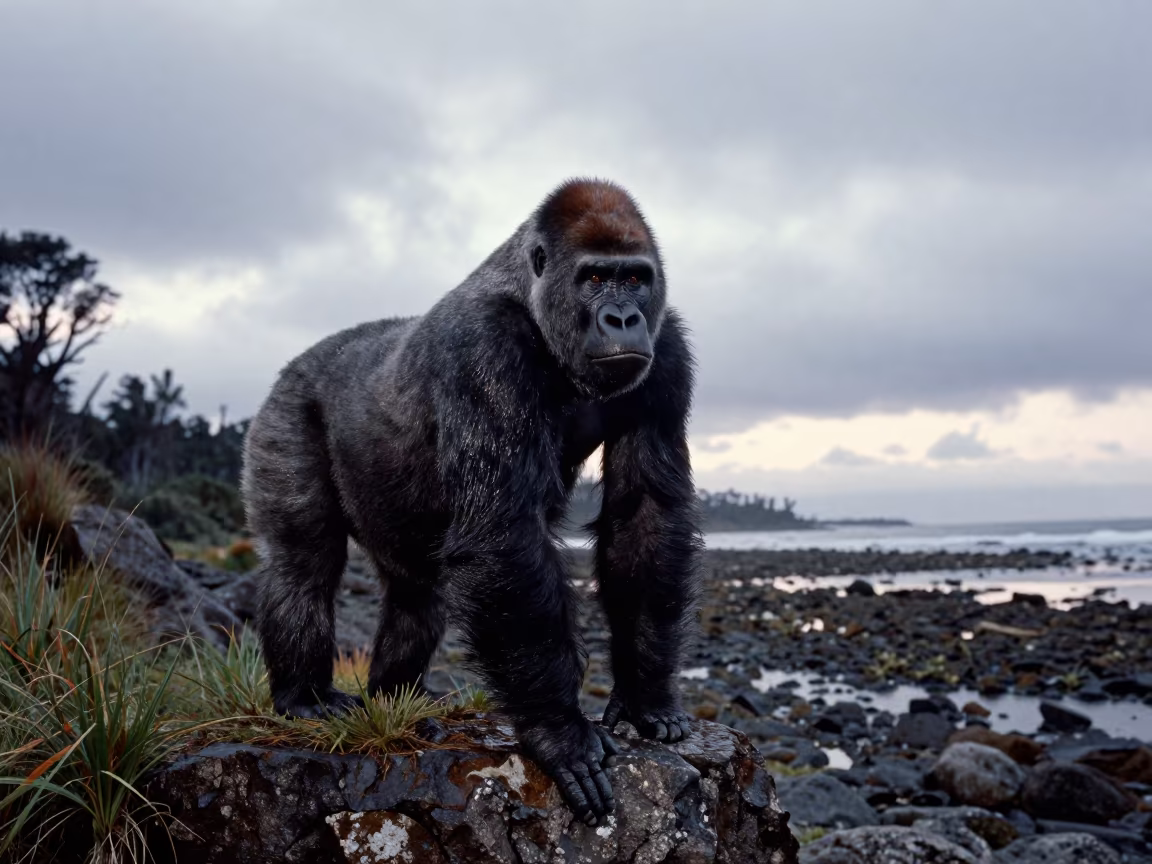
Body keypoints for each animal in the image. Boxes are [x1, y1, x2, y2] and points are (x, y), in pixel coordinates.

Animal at [241, 178, 702, 826]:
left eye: (635, 278)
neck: (533, 299)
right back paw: (302, 695)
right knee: (304, 561)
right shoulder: (484, 347)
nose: (623, 316)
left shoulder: (668, 351)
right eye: (594, 278)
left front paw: (646, 694)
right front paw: (558, 729)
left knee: (416, 595)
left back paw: (396, 696)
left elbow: (647, 517)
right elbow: (501, 532)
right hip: (286, 404)